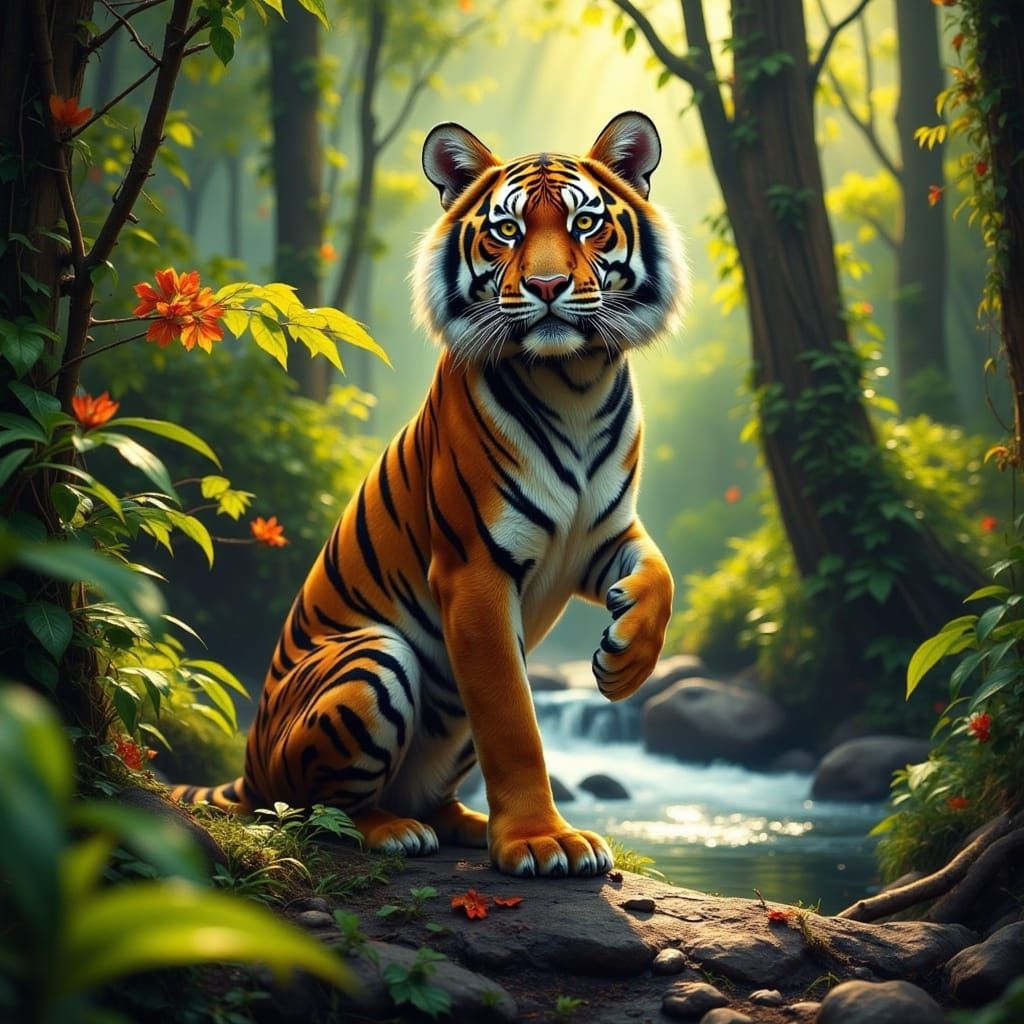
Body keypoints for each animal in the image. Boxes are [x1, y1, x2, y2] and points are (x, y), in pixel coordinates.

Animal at [171, 111, 688, 878]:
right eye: (507, 230)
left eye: (586, 222)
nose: (548, 285)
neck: (575, 380)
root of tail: (248, 764)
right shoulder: (475, 568)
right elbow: (513, 722)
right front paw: (541, 841)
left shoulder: (603, 536)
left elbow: (662, 574)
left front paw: (625, 663)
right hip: (374, 658)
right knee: (312, 809)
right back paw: (389, 829)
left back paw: (461, 821)